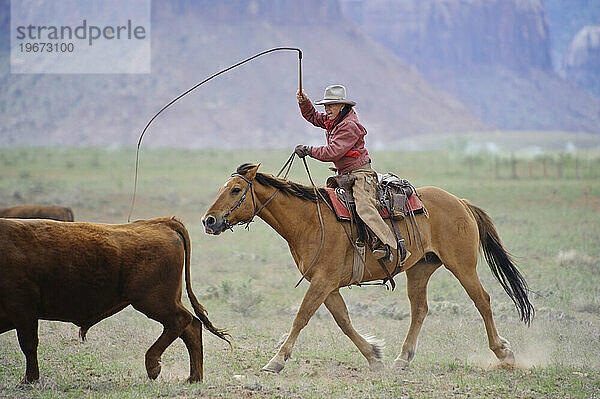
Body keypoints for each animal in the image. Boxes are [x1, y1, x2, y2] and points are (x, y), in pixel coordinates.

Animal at [0, 219, 230, 384]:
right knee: (191, 326)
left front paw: (29, 380)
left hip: (153, 302)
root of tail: (160, 222)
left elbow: (28, 345)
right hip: (164, 301)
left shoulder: (24, 311)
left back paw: (153, 366)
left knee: (182, 322)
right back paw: (193, 377)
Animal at [203, 163, 536, 376]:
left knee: (482, 300)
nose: (209, 220)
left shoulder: (321, 282)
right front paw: (374, 355)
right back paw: (402, 358)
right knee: (420, 309)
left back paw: (503, 353)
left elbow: (301, 318)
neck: (309, 220)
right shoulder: (327, 284)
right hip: (420, 269)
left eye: (235, 190)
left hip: (462, 265)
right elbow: (344, 321)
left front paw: (276, 361)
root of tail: (461, 202)